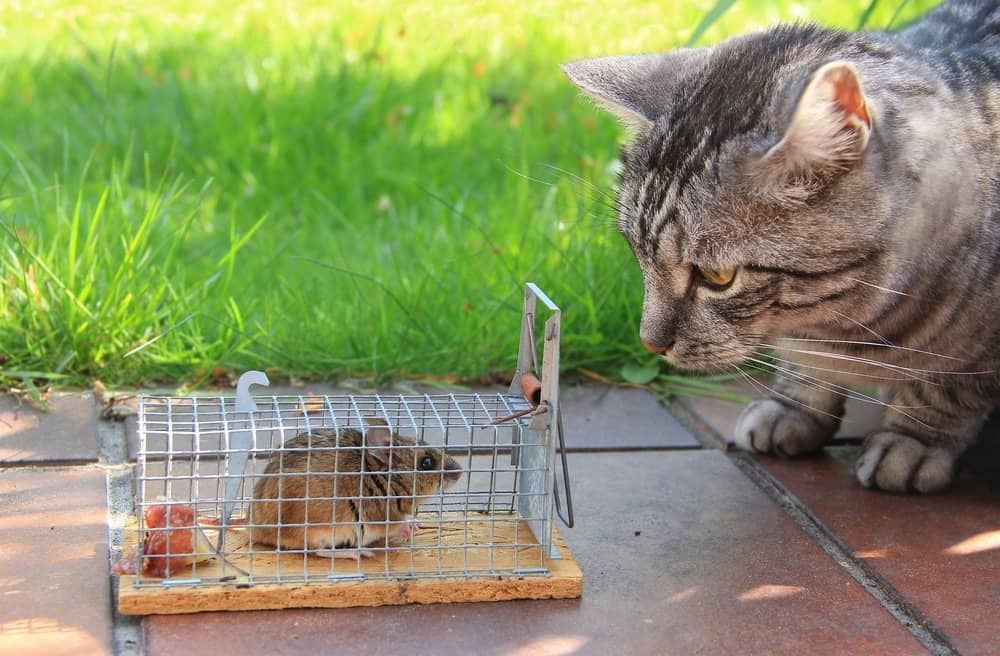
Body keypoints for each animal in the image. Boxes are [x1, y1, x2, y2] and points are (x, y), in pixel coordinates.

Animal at [564, 1, 1000, 492]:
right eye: (638, 255)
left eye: (718, 277)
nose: (649, 343)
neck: (840, 329)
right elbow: (804, 372)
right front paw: (795, 406)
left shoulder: (982, 346)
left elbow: (946, 388)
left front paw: (913, 440)